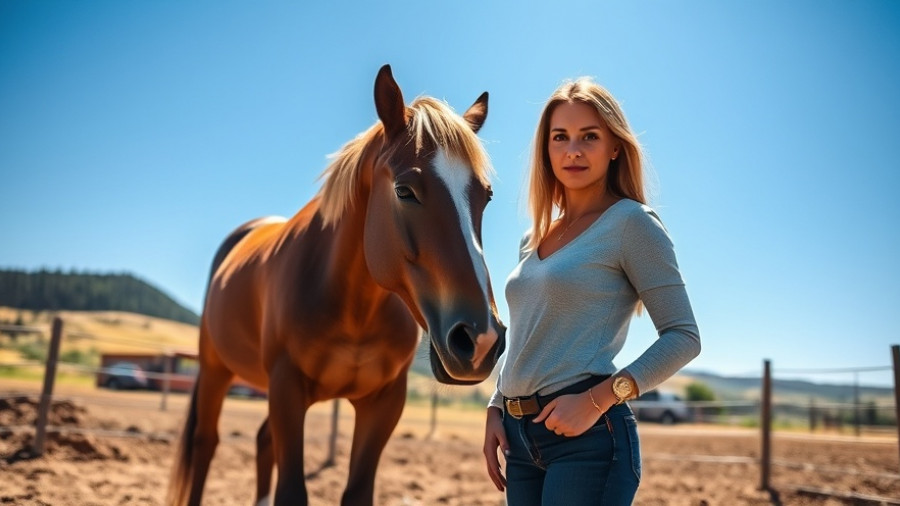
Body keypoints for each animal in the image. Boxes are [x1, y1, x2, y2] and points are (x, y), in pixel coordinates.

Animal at [166, 65, 506, 506]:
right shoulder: (287, 389)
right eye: (404, 190)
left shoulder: (383, 403)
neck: (354, 308)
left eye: (485, 196)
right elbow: (291, 491)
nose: (481, 340)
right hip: (214, 371)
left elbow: (356, 491)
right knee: (206, 444)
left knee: (262, 442)